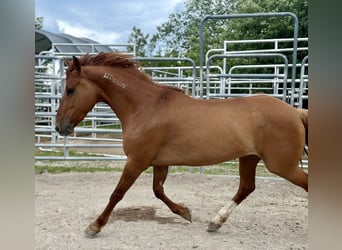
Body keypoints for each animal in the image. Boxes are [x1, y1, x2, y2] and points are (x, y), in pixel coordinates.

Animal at [55, 51, 308, 236]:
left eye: (70, 89)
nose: (59, 127)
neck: (146, 107)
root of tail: (295, 112)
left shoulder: (136, 161)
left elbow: (117, 193)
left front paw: (94, 226)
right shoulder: (159, 163)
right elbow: (158, 191)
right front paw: (185, 212)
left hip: (281, 166)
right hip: (249, 158)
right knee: (246, 188)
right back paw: (215, 222)